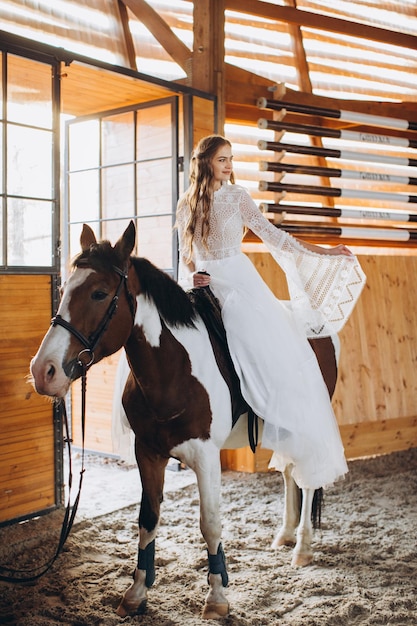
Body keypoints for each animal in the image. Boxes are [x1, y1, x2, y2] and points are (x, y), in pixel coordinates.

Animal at [30, 221, 338, 620]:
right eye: (64, 290)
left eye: (99, 293)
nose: (43, 371)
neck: (174, 369)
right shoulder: (147, 451)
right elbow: (147, 518)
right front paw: (136, 592)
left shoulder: (205, 457)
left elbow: (210, 522)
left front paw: (217, 596)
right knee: (289, 472)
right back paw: (284, 535)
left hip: (308, 427)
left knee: (308, 477)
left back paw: (302, 547)